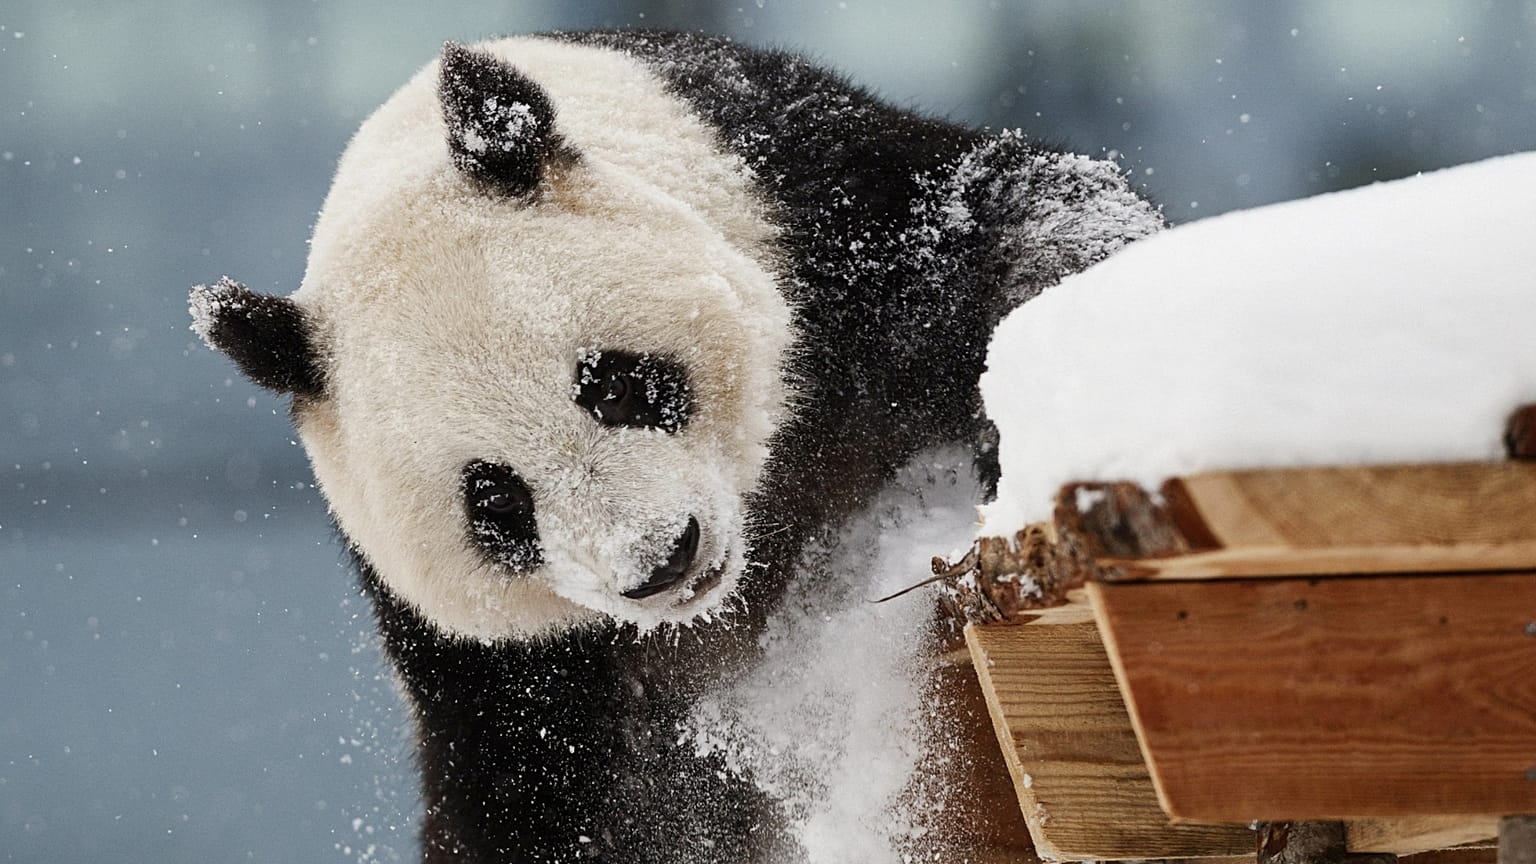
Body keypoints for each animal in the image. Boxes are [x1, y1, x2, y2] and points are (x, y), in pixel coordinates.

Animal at [190, 30, 1161, 864]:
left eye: (613, 385)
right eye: (495, 502)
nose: (661, 561)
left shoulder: (818, 217)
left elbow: (1013, 223)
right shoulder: (493, 668)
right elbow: (544, 806)